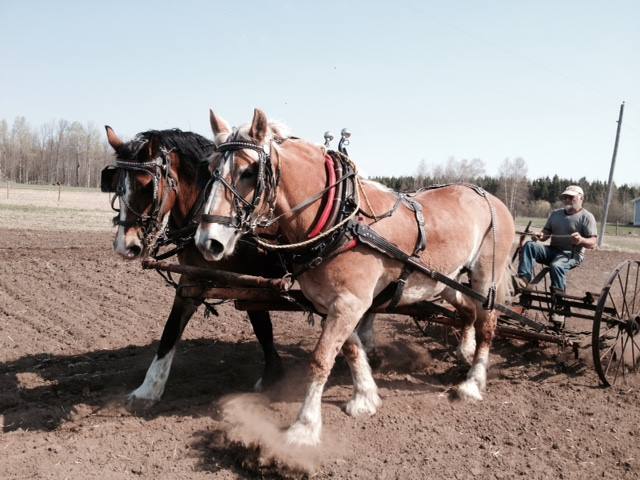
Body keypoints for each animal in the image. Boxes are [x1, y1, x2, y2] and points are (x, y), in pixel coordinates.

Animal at [195, 109, 516, 446]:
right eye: (211, 169)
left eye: (248, 171)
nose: (208, 242)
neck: (340, 220)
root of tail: (490, 198)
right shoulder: (332, 304)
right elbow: (350, 349)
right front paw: (365, 397)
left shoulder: (350, 302)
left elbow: (321, 358)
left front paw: (305, 427)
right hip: (443, 281)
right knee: (468, 311)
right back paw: (464, 352)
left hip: (487, 278)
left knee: (487, 324)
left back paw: (473, 382)